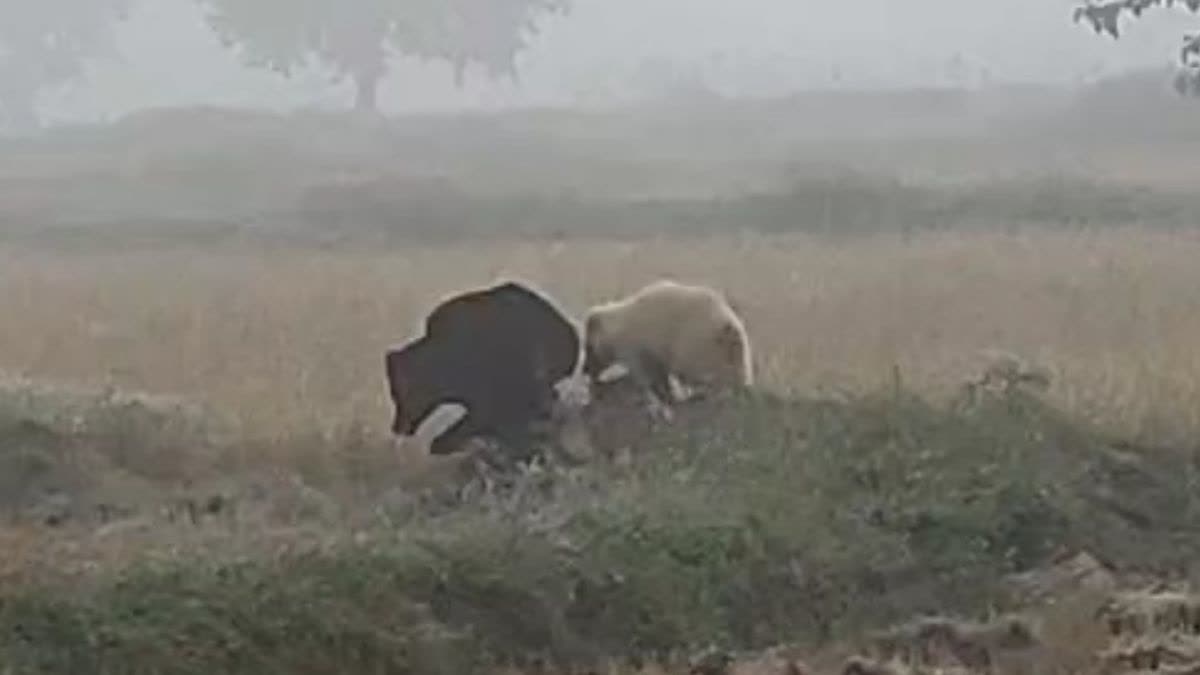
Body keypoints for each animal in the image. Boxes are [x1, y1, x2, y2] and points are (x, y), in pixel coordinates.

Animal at [578, 278, 748, 403]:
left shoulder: (639, 345)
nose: (584, 369)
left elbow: (644, 372)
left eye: (588, 347)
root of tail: (729, 327)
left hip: (697, 344)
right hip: (731, 349)